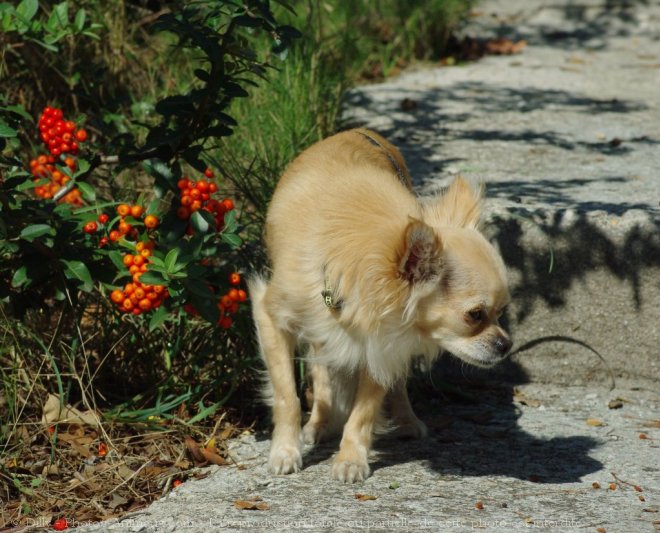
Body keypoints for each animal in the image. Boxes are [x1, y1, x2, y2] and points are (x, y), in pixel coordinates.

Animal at [250, 128, 512, 482]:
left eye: (501, 313)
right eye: (475, 315)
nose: (505, 344)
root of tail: (361, 130)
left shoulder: (382, 343)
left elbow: (364, 411)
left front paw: (351, 458)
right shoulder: (271, 316)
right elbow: (286, 395)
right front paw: (285, 451)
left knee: (396, 385)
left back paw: (406, 420)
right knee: (320, 370)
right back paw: (319, 423)